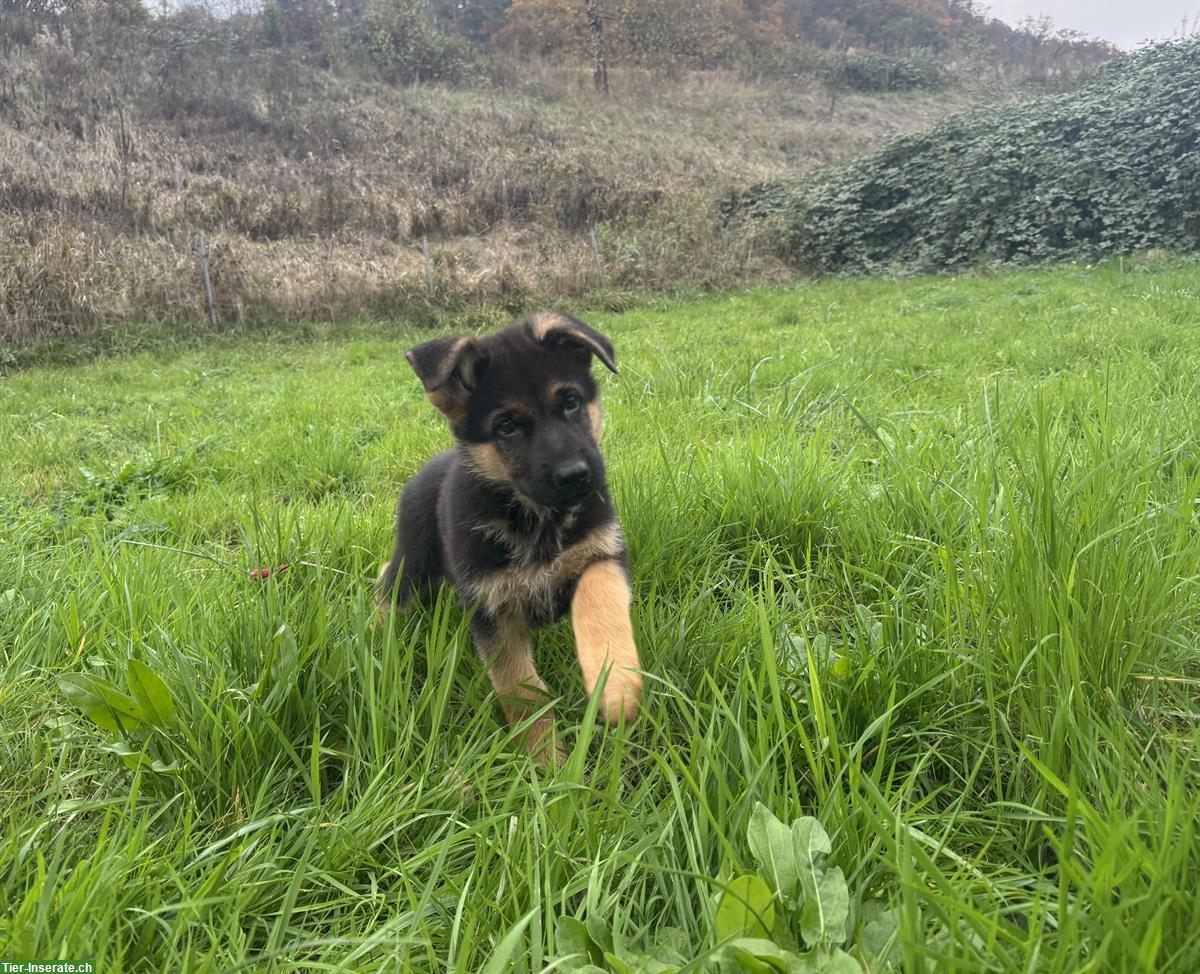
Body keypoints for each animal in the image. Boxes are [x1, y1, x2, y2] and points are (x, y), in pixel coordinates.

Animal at [376, 311, 643, 762]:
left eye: (570, 401)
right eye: (506, 427)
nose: (576, 476)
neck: (539, 520)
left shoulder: (601, 554)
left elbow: (599, 599)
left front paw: (615, 680)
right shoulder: (493, 612)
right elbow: (522, 689)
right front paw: (547, 762)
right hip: (415, 562)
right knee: (389, 586)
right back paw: (375, 638)